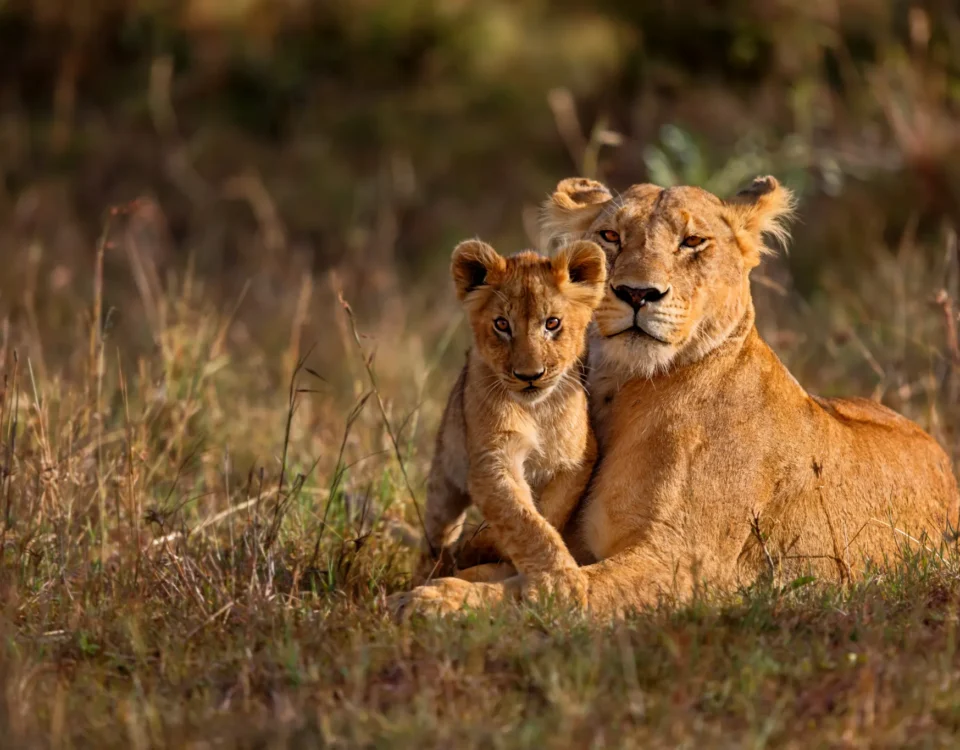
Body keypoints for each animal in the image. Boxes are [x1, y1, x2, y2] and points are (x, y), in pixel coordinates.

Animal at [418, 238, 607, 585]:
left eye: (552, 323)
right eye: (502, 325)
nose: (529, 375)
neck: (537, 410)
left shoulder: (577, 460)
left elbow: (548, 513)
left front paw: (482, 545)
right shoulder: (492, 460)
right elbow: (524, 521)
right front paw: (561, 580)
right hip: (444, 479)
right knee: (437, 534)